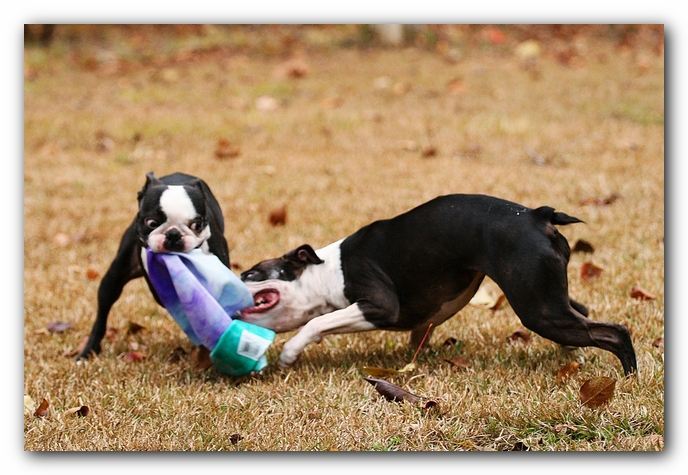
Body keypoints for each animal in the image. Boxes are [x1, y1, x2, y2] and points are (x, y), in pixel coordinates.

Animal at [77, 171, 230, 360]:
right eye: (152, 223)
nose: (173, 234)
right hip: (113, 279)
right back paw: (88, 351)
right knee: (102, 312)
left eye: (197, 225)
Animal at [241, 192, 640, 376]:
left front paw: (291, 353)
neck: (327, 271)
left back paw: (630, 377)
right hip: (550, 297)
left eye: (251, 274)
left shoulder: (380, 306)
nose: (234, 279)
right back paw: (570, 356)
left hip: (539, 310)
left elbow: (317, 322)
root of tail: (536, 215)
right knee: (583, 314)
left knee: (614, 331)